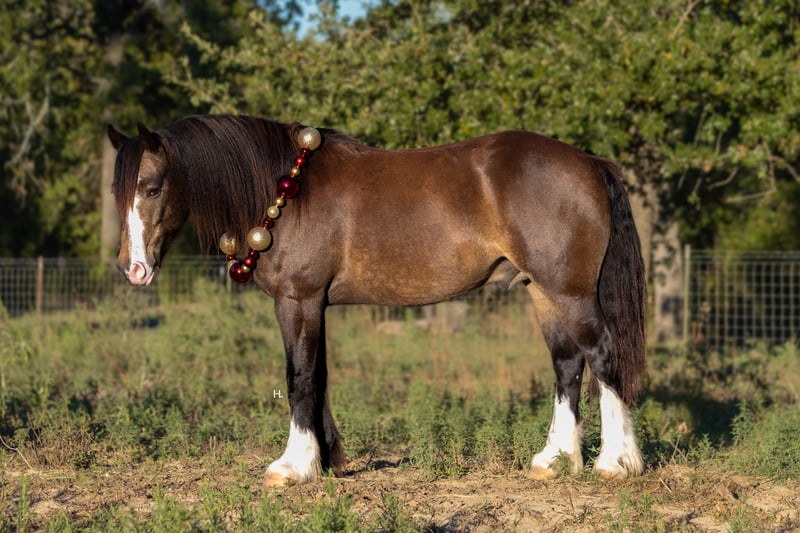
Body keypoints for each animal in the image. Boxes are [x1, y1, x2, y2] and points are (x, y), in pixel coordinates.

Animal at [107, 114, 646, 486]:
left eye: (151, 187)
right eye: (117, 192)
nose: (133, 269)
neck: (285, 189)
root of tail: (590, 163)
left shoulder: (297, 300)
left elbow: (299, 378)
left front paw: (293, 466)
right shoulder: (316, 305)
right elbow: (319, 375)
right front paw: (326, 461)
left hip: (569, 293)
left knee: (602, 356)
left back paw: (615, 462)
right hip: (544, 292)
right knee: (567, 365)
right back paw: (554, 460)